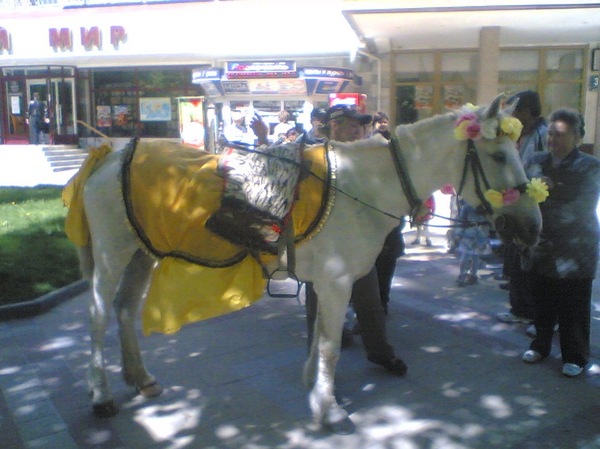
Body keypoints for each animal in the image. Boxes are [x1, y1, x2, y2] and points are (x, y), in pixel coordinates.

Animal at [68, 94, 542, 431]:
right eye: (499, 156)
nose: (532, 227)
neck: (361, 185)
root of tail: (109, 155)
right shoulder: (335, 283)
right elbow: (330, 345)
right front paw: (328, 408)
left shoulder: (328, 283)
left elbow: (319, 339)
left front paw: (314, 388)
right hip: (112, 253)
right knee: (97, 314)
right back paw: (100, 395)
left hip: (141, 253)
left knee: (124, 309)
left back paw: (141, 378)